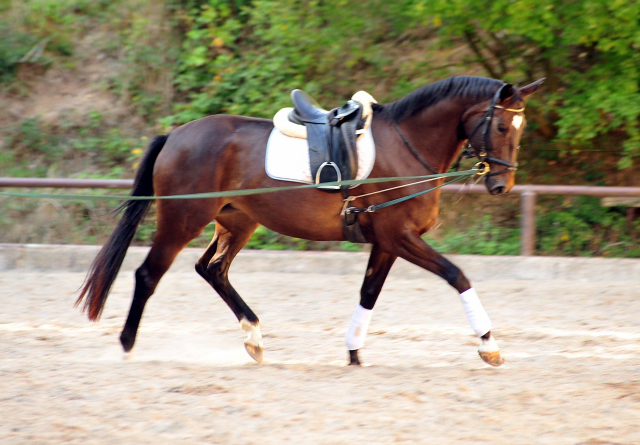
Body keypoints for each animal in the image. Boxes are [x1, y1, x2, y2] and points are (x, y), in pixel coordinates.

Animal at [77, 76, 544, 366]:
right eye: (502, 126)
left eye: (521, 128)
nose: (501, 184)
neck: (409, 146)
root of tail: (175, 134)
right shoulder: (400, 237)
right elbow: (457, 275)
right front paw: (489, 347)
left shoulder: (386, 242)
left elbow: (369, 293)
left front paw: (353, 353)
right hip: (183, 220)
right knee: (148, 274)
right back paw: (127, 347)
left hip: (237, 221)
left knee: (212, 269)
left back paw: (254, 338)